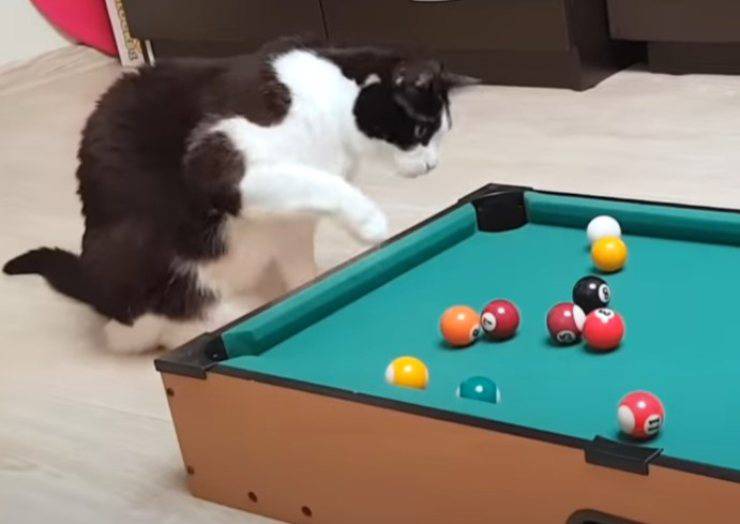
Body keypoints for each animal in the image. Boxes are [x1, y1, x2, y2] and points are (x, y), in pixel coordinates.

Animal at [3, 38, 476, 353]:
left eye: (441, 135)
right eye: (421, 130)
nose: (432, 165)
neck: (332, 105)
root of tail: (95, 291)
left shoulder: (290, 219)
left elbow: (301, 260)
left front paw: (310, 291)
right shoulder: (220, 162)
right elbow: (328, 185)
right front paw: (369, 221)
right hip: (142, 266)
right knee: (154, 329)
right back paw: (225, 318)